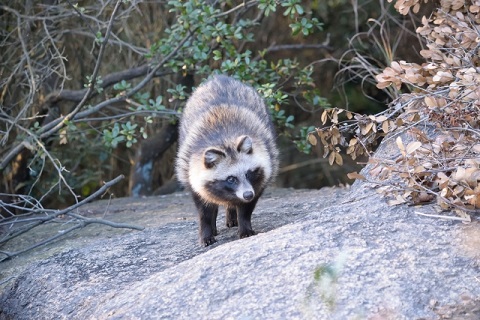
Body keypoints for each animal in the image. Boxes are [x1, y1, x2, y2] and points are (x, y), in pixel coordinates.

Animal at [177, 76, 280, 246]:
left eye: (249, 173)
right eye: (231, 179)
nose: (247, 194)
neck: (226, 140)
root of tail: (220, 77)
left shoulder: (264, 170)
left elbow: (246, 208)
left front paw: (244, 225)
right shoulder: (189, 169)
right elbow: (204, 209)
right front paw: (206, 230)